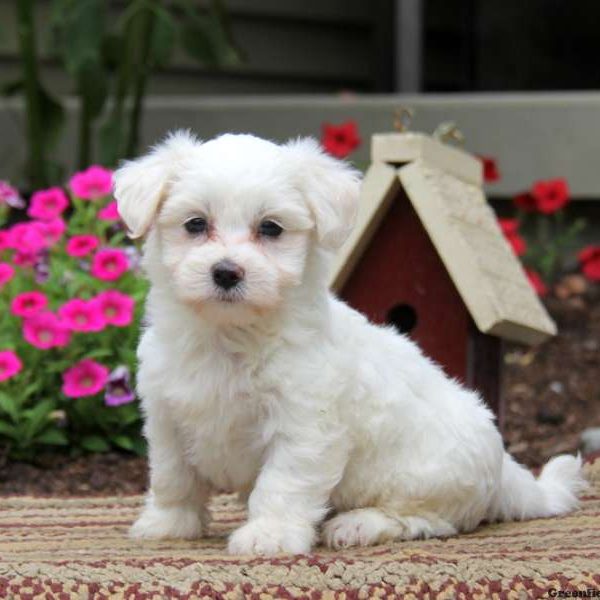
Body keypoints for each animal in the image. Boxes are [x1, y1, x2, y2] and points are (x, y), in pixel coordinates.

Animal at [113, 134, 584, 556]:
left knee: (429, 520)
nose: (226, 272)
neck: (230, 334)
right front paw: (169, 523)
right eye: (195, 224)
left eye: (270, 228)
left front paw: (270, 535)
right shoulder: (167, 416)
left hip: (427, 478)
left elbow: (281, 484)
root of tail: (505, 468)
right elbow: (172, 476)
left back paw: (360, 524)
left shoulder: (303, 426)